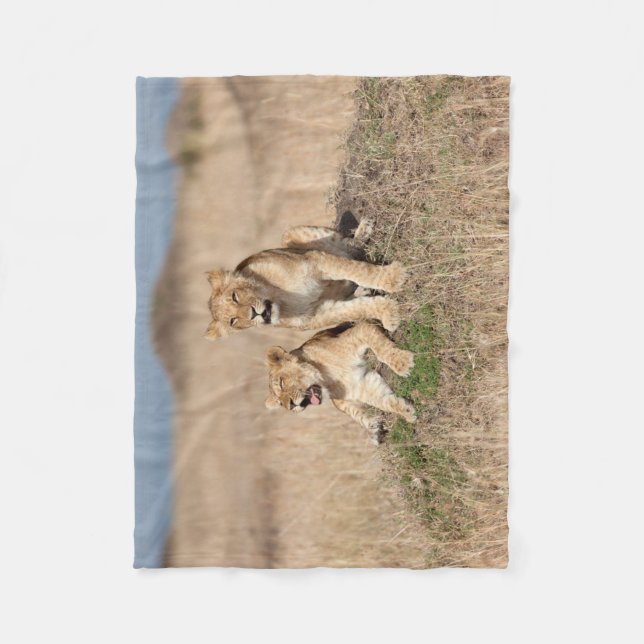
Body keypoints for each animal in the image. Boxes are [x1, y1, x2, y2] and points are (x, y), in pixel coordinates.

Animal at [204, 223, 406, 339]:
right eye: (233, 321)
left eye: (235, 297)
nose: (253, 314)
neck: (282, 300)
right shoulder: (320, 314)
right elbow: (357, 309)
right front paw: (390, 313)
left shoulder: (315, 261)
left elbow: (357, 269)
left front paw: (393, 278)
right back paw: (361, 290)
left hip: (290, 234)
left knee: (348, 247)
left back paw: (364, 230)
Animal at [264, 321, 416, 444]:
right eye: (280, 403)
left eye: (281, 383)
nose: (290, 406)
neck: (328, 379)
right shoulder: (363, 384)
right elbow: (385, 401)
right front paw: (407, 411)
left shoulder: (359, 330)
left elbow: (381, 349)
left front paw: (403, 363)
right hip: (339, 402)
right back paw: (374, 431)